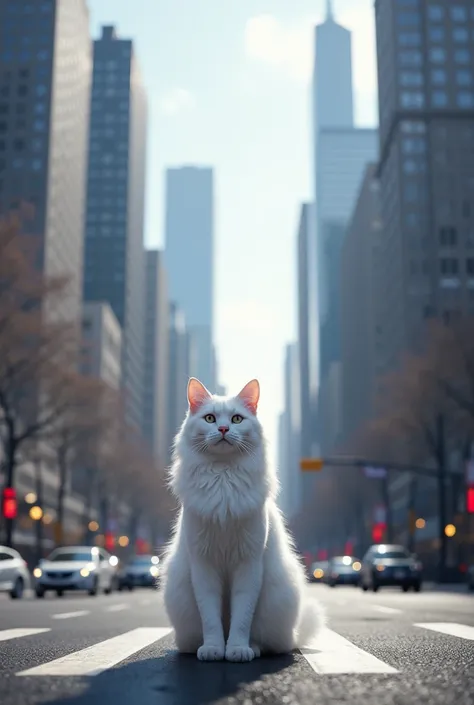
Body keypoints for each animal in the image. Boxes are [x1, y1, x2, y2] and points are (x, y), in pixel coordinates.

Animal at [162, 380, 322, 660]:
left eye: (237, 419)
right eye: (210, 418)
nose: (224, 429)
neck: (223, 477)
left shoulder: (248, 564)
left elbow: (241, 617)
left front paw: (236, 649)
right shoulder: (204, 565)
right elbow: (211, 617)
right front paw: (214, 649)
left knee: (267, 641)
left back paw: (253, 648)